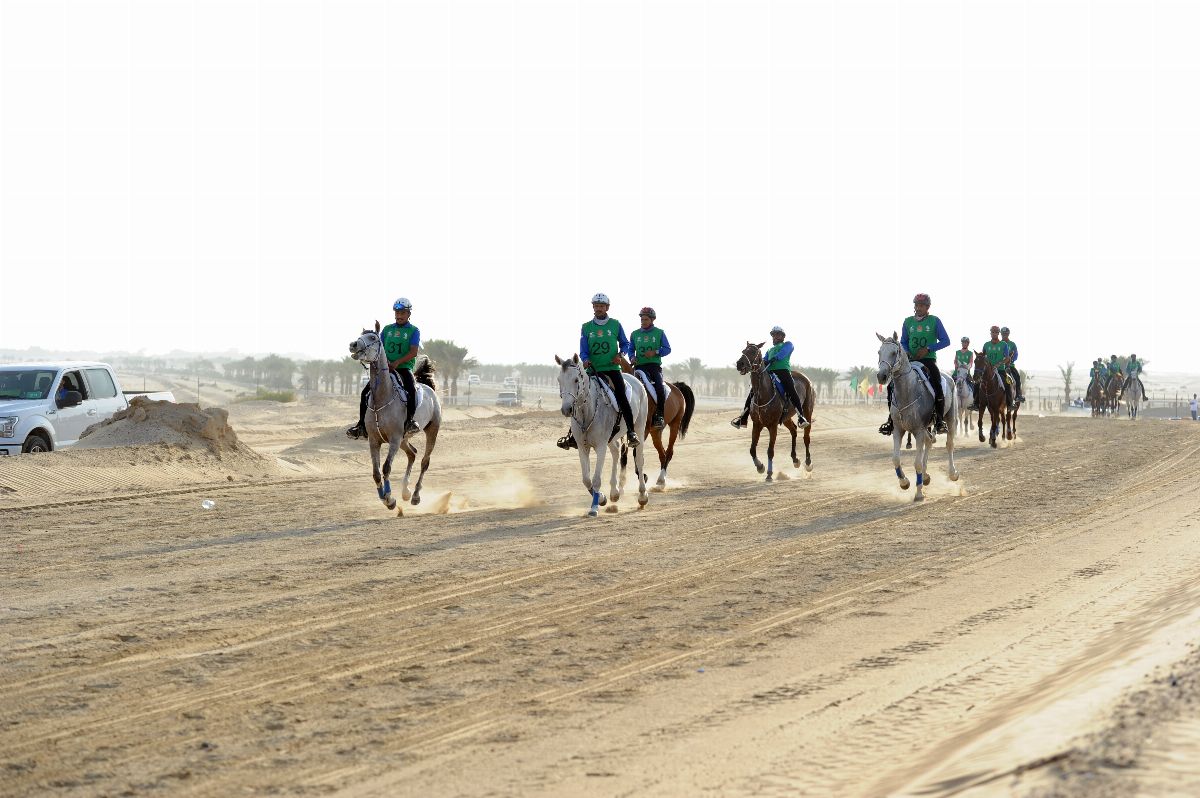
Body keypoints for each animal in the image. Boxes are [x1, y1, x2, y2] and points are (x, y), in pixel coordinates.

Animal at [350, 326, 444, 513]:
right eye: (360, 335)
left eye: (373, 337)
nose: (353, 344)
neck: (382, 397)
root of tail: (429, 388)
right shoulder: (374, 440)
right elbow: (376, 473)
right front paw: (386, 498)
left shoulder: (393, 439)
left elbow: (386, 468)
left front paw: (389, 499)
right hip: (404, 438)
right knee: (412, 454)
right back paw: (405, 492)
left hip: (431, 431)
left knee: (424, 462)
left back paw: (415, 496)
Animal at [624, 357, 700, 489]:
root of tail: (676, 387)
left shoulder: (644, 429)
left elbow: (636, 452)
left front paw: (643, 476)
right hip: (655, 431)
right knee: (662, 453)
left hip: (674, 424)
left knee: (669, 452)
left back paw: (661, 479)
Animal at [878, 333, 960, 501]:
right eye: (879, 352)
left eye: (894, 353)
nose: (881, 376)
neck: (908, 391)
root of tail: (949, 377)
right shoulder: (898, 430)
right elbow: (895, 459)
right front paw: (904, 482)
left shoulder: (918, 430)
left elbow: (917, 463)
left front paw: (919, 493)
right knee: (929, 443)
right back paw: (926, 476)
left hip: (951, 418)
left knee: (949, 444)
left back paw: (953, 474)